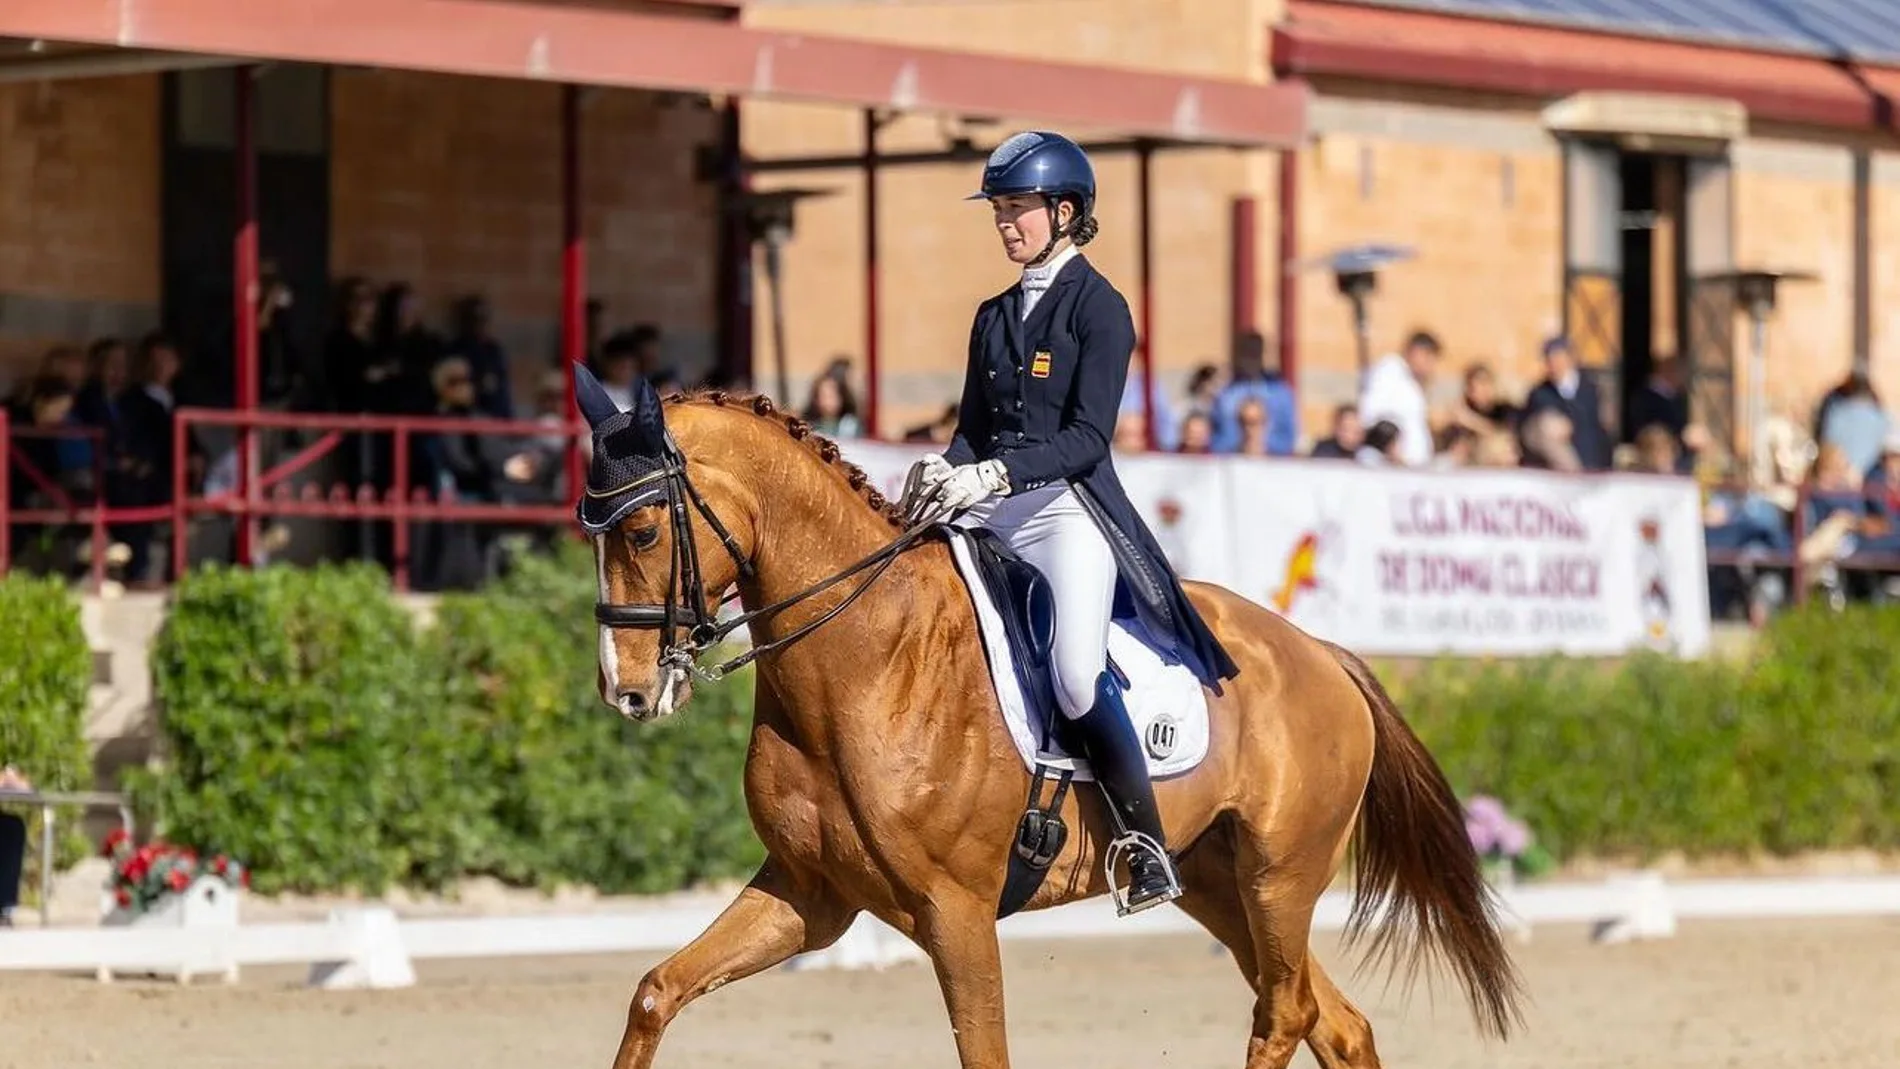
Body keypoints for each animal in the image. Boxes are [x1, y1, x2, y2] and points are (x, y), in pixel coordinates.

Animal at [585, 387, 1520, 1069]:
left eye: (643, 529)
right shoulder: (811, 893)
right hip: (1219, 884)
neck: (864, 657)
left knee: (1284, 1011)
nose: (626, 692)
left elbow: (986, 1054)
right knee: (1336, 1022)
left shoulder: (955, 912)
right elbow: (656, 990)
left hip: (1279, 879)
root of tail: (1322, 652)